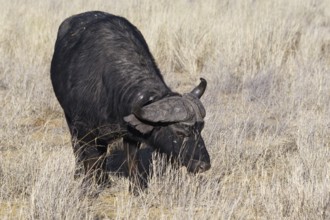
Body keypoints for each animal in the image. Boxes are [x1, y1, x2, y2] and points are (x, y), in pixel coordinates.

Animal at [51, 11, 211, 194]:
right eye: (180, 133)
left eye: (200, 129)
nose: (204, 165)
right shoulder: (84, 130)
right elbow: (90, 159)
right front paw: (88, 186)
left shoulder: (130, 134)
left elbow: (132, 160)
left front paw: (136, 189)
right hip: (69, 119)